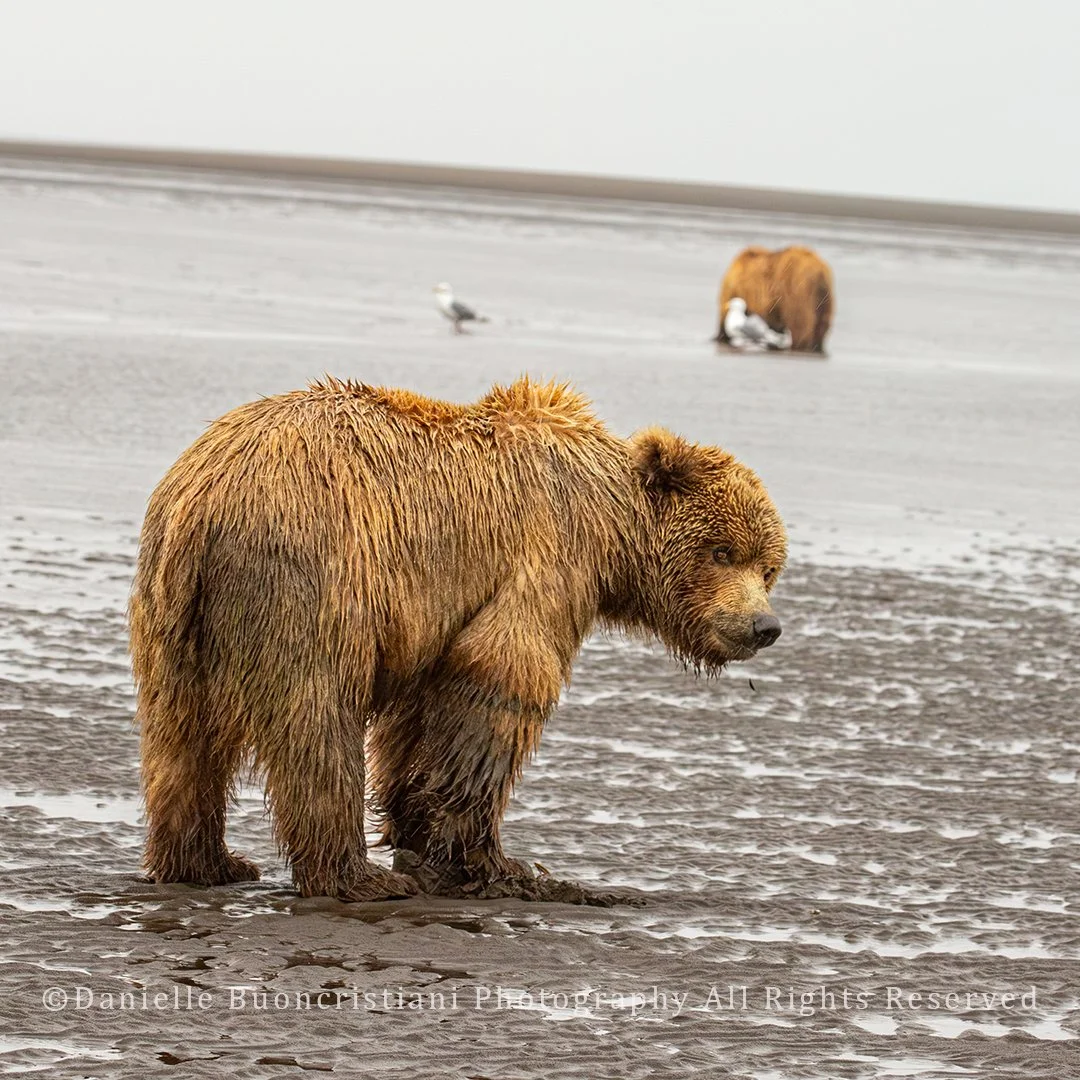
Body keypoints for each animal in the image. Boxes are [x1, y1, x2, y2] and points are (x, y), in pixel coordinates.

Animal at [130, 377, 787, 904]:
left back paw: (206, 863)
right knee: (316, 721)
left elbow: (418, 712)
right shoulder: (545, 557)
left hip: (172, 613)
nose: (764, 626)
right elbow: (497, 683)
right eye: (722, 551)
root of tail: (205, 498)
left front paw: (419, 830)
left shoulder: (434, 615)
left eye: (770, 567)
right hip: (310, 578)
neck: (611, 527)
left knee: (178, 739)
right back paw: (357, 877)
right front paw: (493, 861)